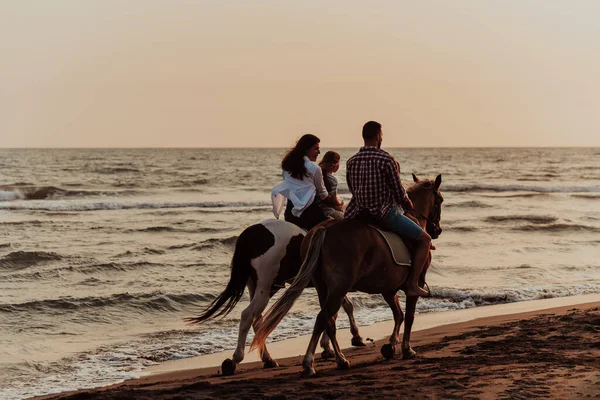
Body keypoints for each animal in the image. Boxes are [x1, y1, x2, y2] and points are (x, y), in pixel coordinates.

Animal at [188, 219, 366, 376]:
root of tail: (251, 232)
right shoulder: (336, 285)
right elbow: (340, 310)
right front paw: (354, 338)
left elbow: (338, 311)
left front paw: (329, 346)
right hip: (267, 287)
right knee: (248, 315)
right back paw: (235, 360)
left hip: (257, 286)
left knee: (257, 319)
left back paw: (268, 359)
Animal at [251, 173, 442, 376]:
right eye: (440, 200)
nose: (437, 230)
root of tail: (323, 229)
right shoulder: (415, 284)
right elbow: (409, 315)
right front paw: (406, 349)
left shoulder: (388, 289)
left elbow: (398, 314)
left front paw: (390, 346)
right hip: (338, 288)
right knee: (323, 318)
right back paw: (309, 363)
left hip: (323, 288)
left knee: (328, 321)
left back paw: (340, 359)